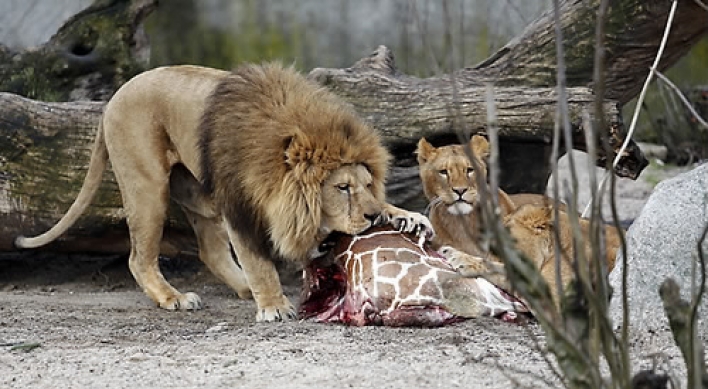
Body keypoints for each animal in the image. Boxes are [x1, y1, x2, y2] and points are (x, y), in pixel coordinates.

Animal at [16, 62, 432, 320]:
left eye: (367, 185)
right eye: (342, 187)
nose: (372, 216)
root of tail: (111, 101)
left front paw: (408, 218)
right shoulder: (240, 206)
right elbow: (258, 260)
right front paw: (274, 305)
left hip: (197, 193)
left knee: (210, 251)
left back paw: (241, 288)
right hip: (148, 186)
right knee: (140, 258)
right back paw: (175, 298)